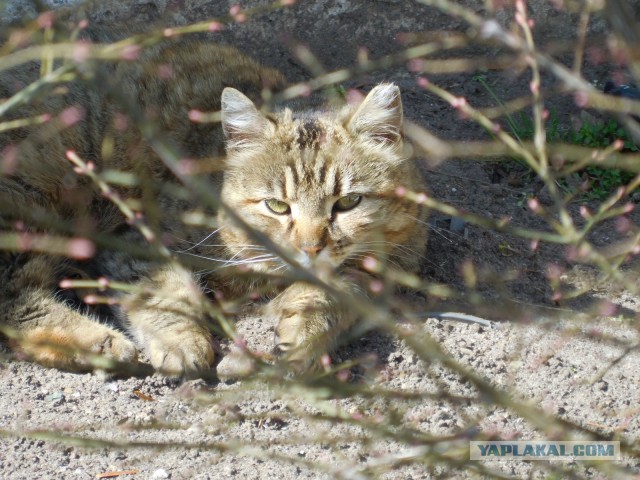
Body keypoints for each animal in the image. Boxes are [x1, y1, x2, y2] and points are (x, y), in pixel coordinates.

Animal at [1, 31, 430, 376]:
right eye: (277, 206)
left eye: (348, 202)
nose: (310, 248)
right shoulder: (133, 243)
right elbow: (168, 294)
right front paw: (184, 341)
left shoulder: (391, 265)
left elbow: (339, 288)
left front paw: (303, 329)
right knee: (14, 298)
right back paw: (100, 342)